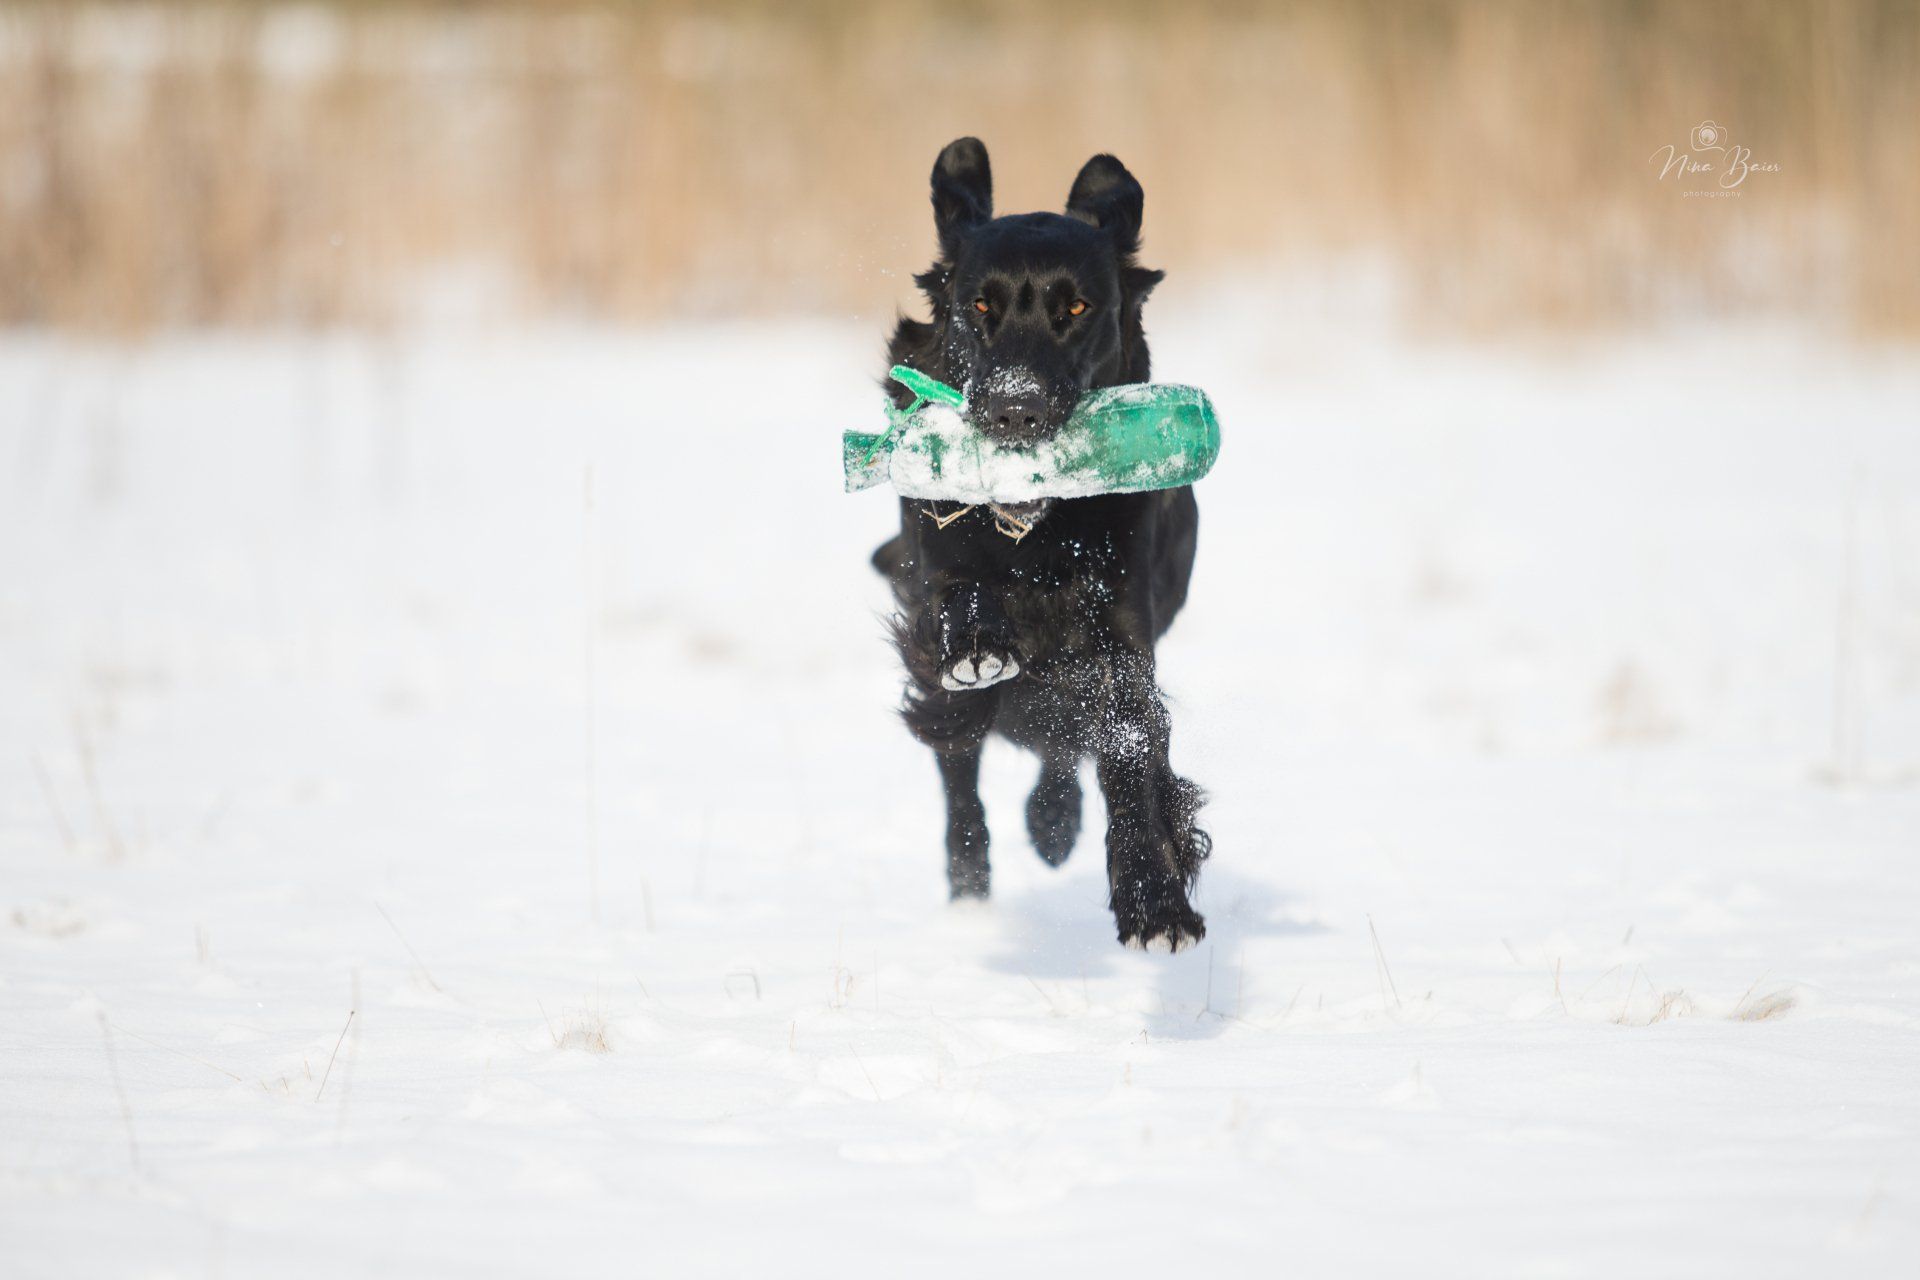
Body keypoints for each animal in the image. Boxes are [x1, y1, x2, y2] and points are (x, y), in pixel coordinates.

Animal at [870, 137, 1209, 952]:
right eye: (978, 308)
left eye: (1077, 308)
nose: (1014, 411)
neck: (1036, 536)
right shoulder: (932, 571)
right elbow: (957, 604)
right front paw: (978, 640)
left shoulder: (1122, 633)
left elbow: (1129, 749)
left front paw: (1154, 898)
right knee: (961, 779)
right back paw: (970, 899)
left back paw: (1054, 824)